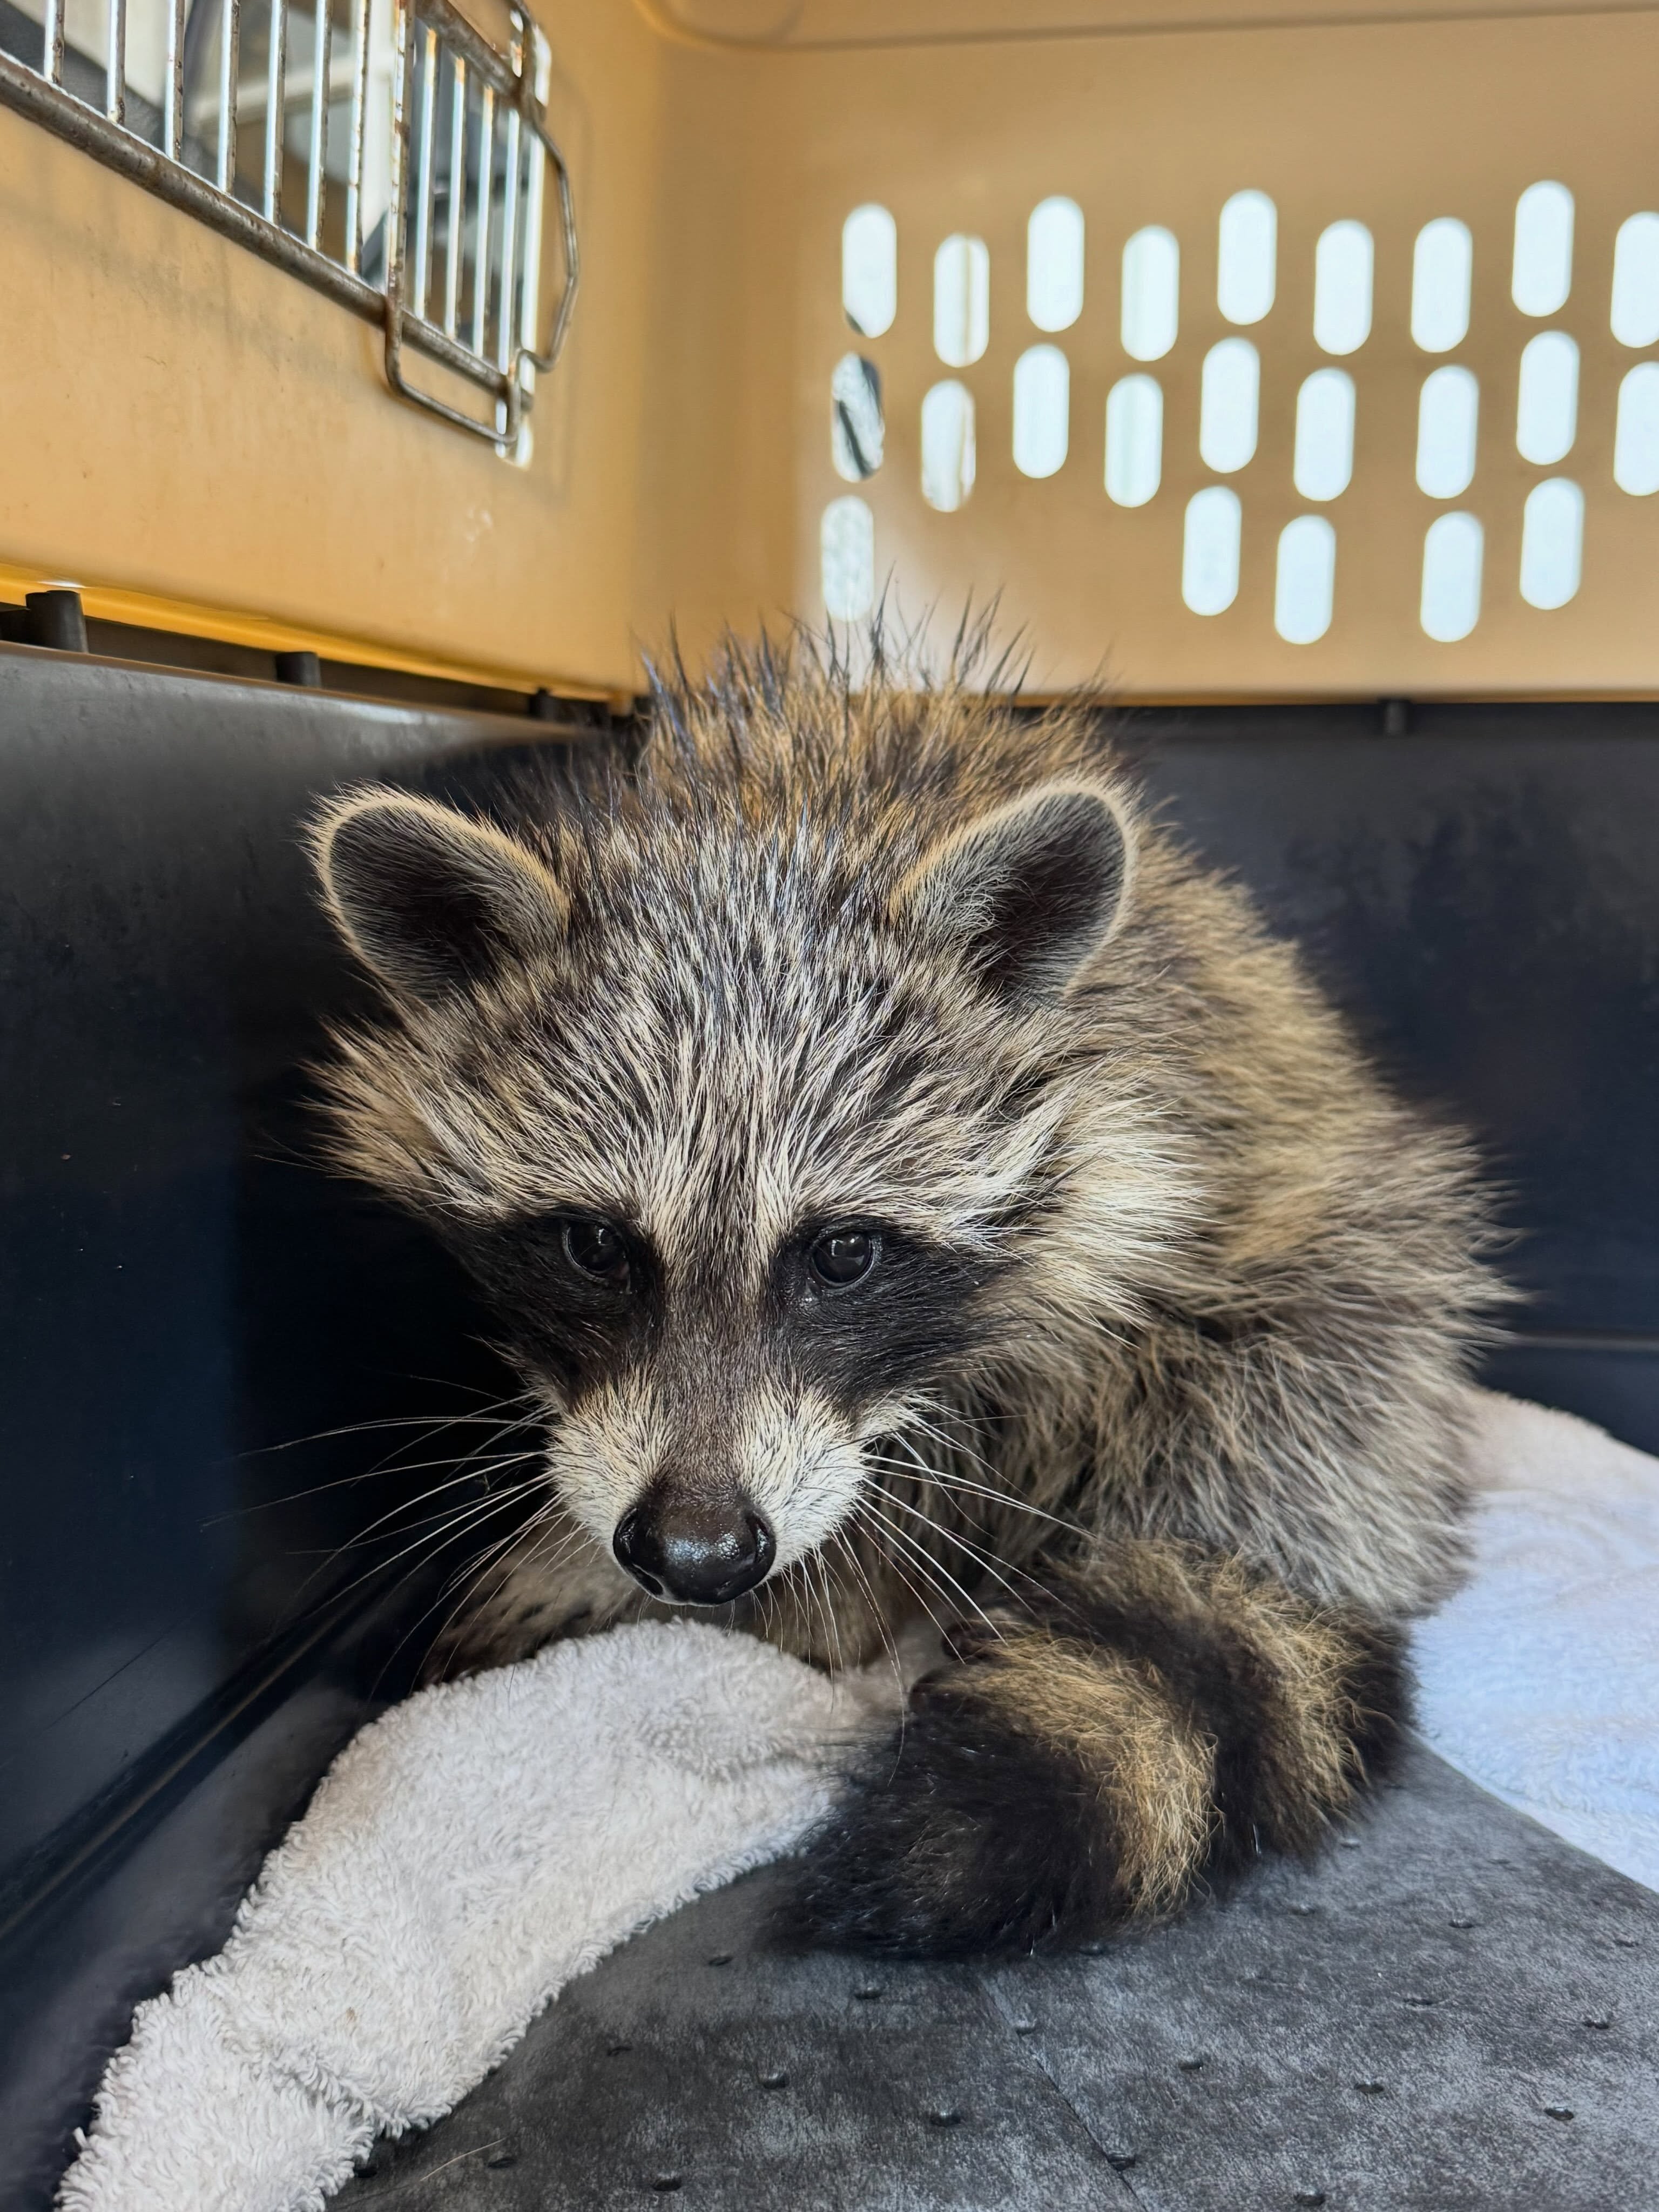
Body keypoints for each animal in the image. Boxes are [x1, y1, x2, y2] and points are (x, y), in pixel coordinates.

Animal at [311, 631, 1497, 1957]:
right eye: (593, 1246)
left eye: (842, 1254)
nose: (697, 1556)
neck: (763, 824)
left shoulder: (1129, 1199)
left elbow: (964, 1441)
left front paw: (821, 1595)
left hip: (1342, 1285)